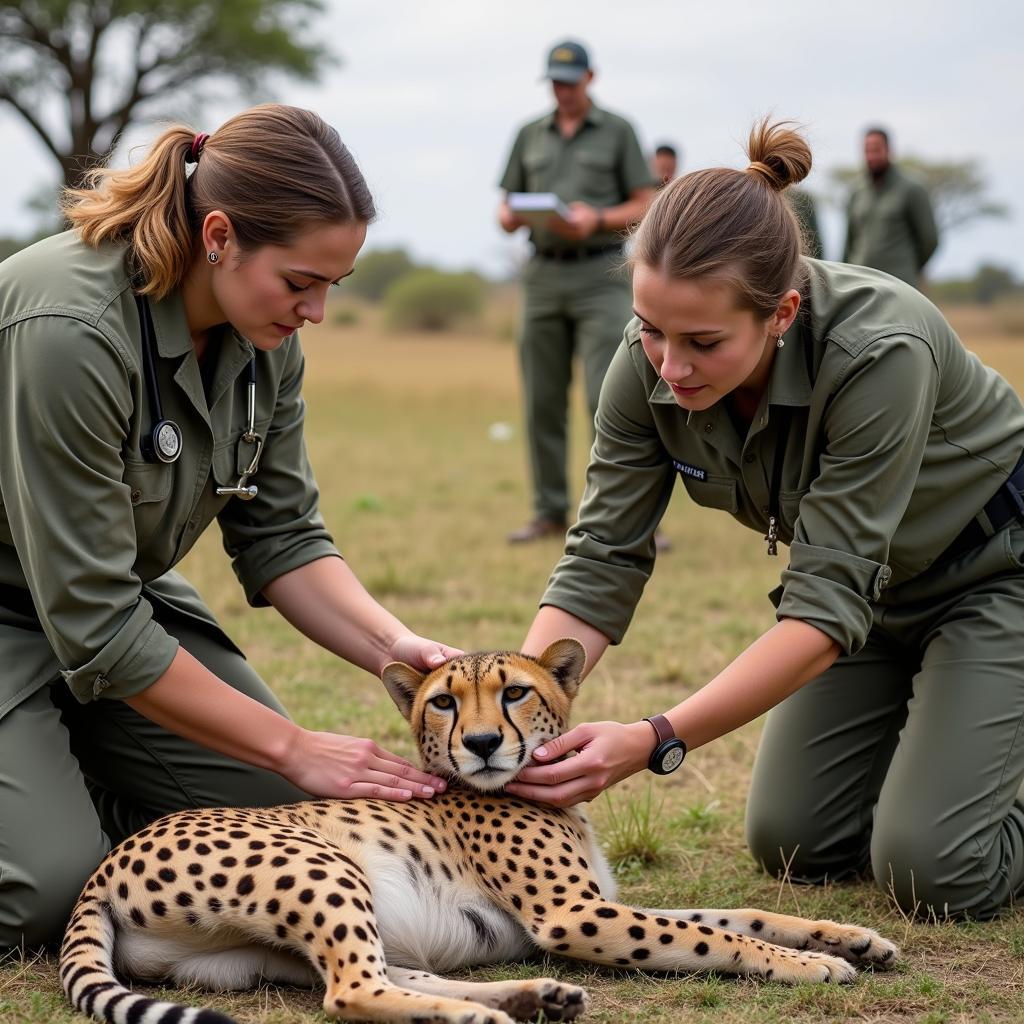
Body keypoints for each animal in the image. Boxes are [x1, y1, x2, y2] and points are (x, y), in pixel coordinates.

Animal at [59, 638, 901, 1024]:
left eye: (515, 693)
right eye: (444, 702)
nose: (485, 743)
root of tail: (105, 863)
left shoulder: (596, 903)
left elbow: (739, 916)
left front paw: (848, 938)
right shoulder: (573, 913)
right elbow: (712, 937)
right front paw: (811, 965)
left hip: (265, 952)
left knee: (394, 975)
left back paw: (533, 997)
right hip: (324, 868)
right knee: (353, 991)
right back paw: (481, 1014)